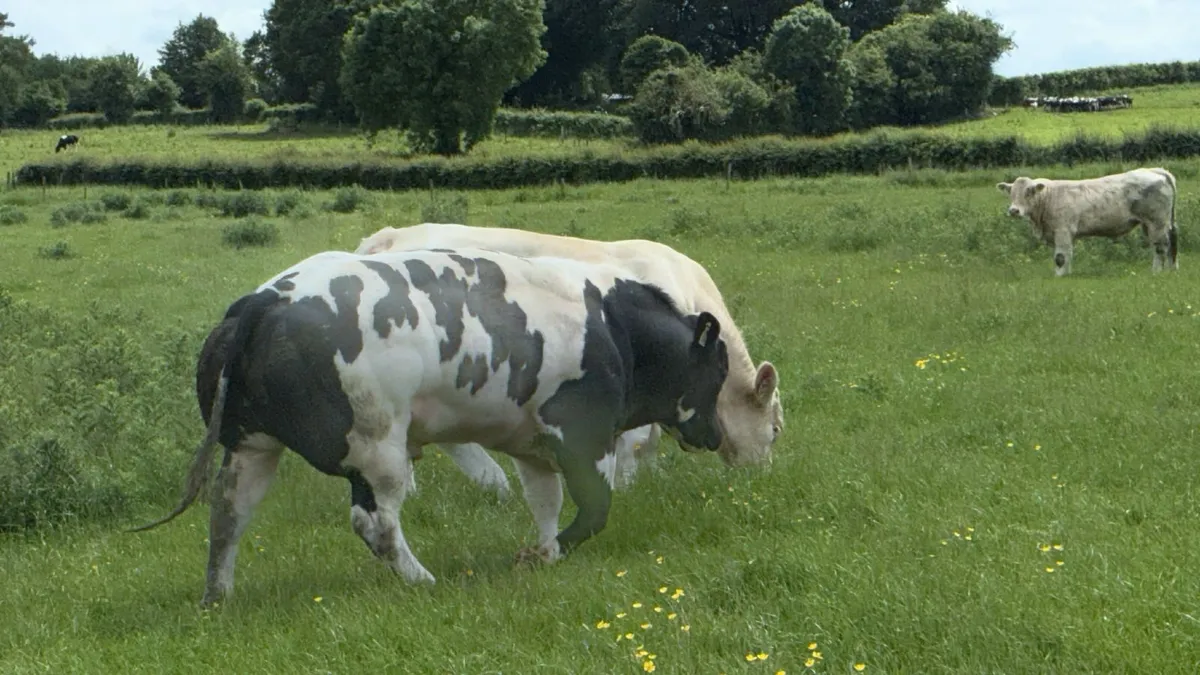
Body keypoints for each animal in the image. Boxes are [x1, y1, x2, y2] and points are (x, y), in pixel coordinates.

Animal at [131, 246, 731, 606]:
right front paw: (542, 554)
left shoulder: (533, 446)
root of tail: (263, 299)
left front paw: (543, 551)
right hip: (377, 448)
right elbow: (594, 509)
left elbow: (545, 503)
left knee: (228, 514)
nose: (716, 436)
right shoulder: (583, 435)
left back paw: (218, 595)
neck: (613, 328)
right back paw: (421, 579)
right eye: (717, 371)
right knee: (374, 523)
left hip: (251, 445)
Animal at [354, 223, 784, 494]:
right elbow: (639, 438)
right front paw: (628, 483)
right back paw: (487, 484)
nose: (761, 478)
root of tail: (391, 236)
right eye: (776, 429)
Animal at [996, 167, 1179, 276]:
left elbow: (1060, 257)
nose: (1014, 210)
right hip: (1152, 224)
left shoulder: (1062, 231)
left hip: (1157, 222)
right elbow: (1066, 256)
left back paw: (1156, 272)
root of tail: (1156, 170)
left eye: (1029, 192)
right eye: (1011, 193)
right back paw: (1171, 269)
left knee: (1160, 247)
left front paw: (1060, 276)